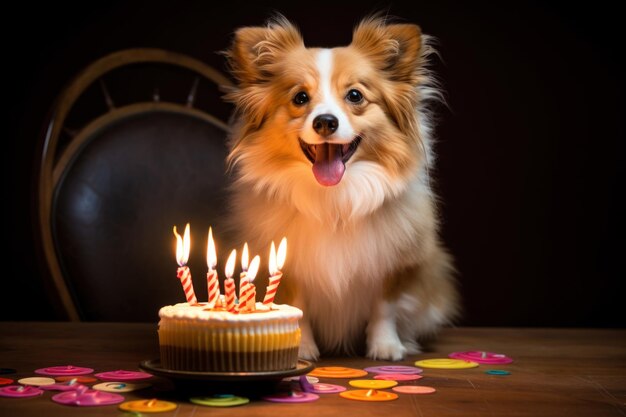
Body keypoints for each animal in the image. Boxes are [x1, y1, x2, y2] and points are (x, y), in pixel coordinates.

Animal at [222, 15, 456, 360]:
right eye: (300, 98)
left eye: (355, 96)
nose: (325, 121)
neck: (335, 197)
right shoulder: (289, 265)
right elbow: (297, 305)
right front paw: (303, 348)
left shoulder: (394, 262)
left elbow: (384, 307)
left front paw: (386, 346)